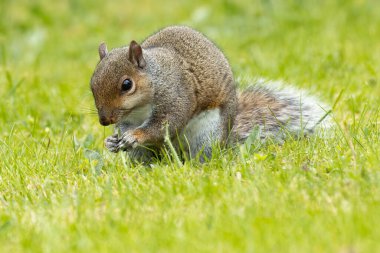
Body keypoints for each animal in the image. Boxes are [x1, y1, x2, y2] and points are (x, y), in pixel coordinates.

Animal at [89, 25, 330, 163]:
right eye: (92, 84)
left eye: (127, 84)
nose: (104, 121)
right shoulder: (129, 118)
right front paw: (112, 140)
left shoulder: (176, 95)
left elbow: (164, 125)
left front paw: (134, 136)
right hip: (145, 153)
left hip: (207, 134)